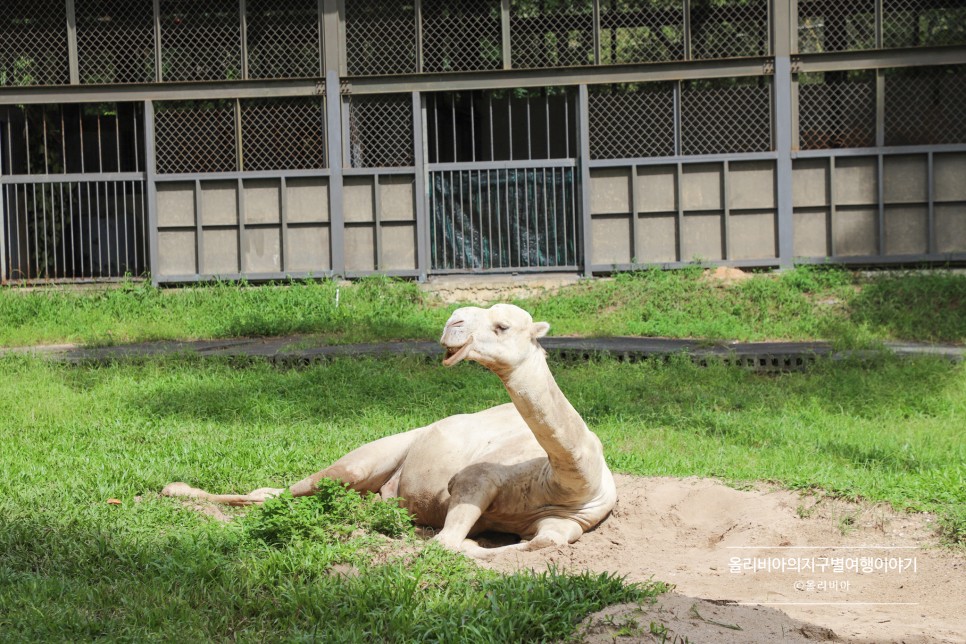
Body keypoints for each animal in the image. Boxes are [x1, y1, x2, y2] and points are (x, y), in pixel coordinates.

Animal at [162, 304, 616, 556]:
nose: (453, 323)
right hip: (374, 454)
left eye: (502, 326)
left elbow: (542, 543)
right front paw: (466, 540)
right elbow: (448, 541)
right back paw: (174, 489)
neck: (570, 480)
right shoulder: (474, 477)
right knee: (290, 489)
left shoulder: (568, 522)